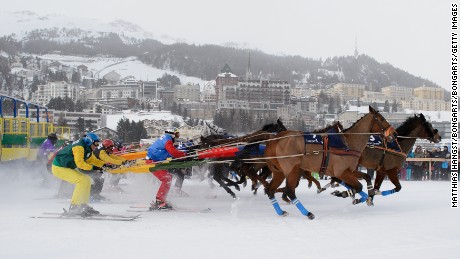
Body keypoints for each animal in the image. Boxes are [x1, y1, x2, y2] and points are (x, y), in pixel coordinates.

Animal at [262, 106, 396, 218]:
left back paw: (281, 212)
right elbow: (358, 186)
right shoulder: (341, 172)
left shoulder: (349, 171)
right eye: (381, 118)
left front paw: (369, 197)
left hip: (279, 172)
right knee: (290, 191)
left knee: (270, 190)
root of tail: (275, 140)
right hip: (291, 170)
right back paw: (307, 213)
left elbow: (367, 178)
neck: (347, 143)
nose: (394, 133)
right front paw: (344, 194)